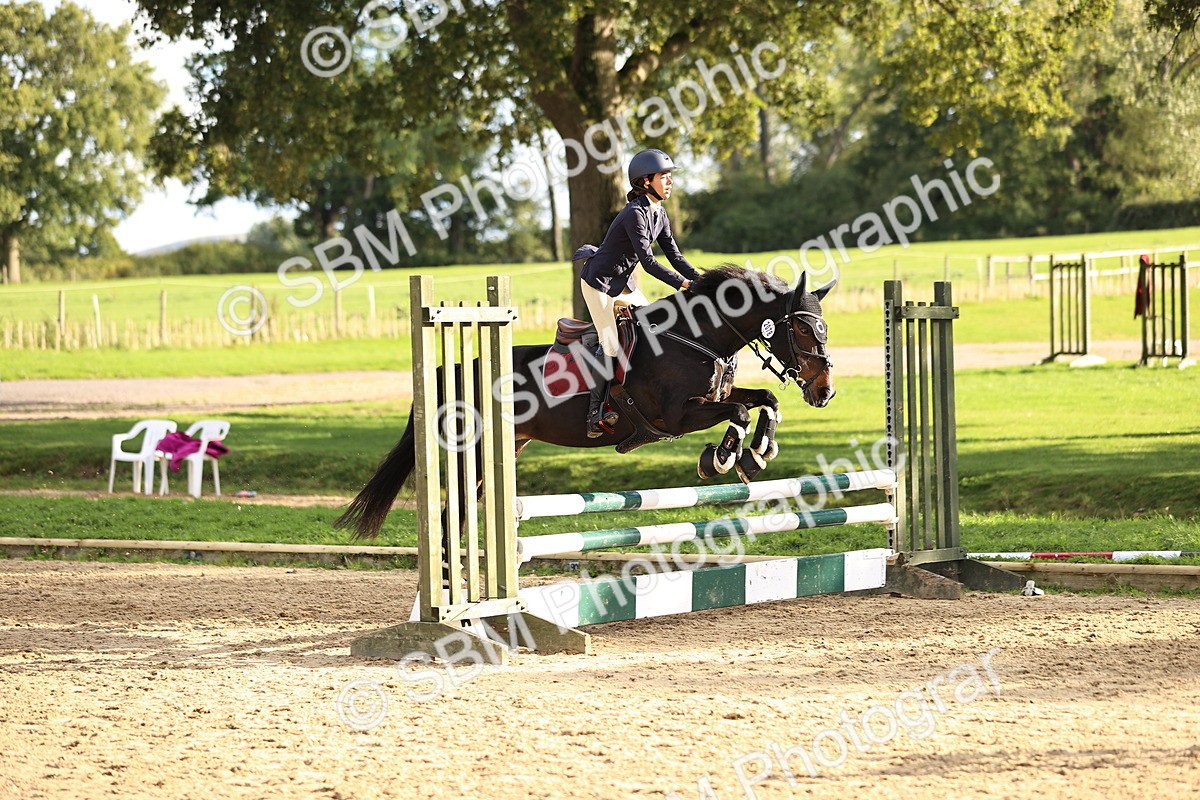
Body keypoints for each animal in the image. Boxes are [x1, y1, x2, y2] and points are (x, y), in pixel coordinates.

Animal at [335, 264, 836, 539]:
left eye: (824, 326)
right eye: (802, 327)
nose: (825, 390)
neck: (698, 336)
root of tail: (455, 369)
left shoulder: (717, 396)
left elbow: (764, 400)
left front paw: (758, 454)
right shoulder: (677, 415)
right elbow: (737, 412)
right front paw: (722, 457)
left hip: (507, 445)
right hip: (471, 449)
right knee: (450, 511)